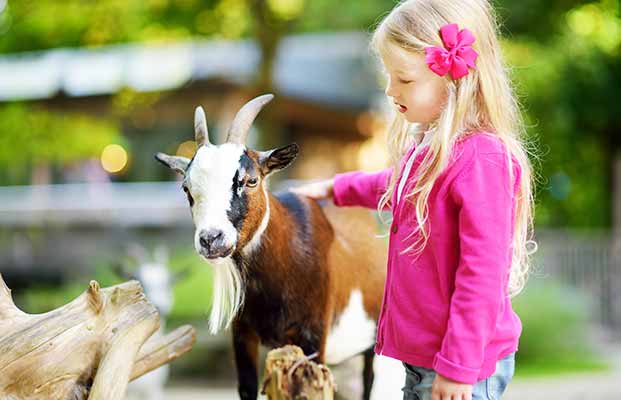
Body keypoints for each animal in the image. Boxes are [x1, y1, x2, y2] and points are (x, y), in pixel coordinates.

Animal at [155, 94, 386, 400]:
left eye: (251, 180)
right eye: (186, 188)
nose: (211, 239)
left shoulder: (313, 337)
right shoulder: (243, 334)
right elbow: (247, 388)